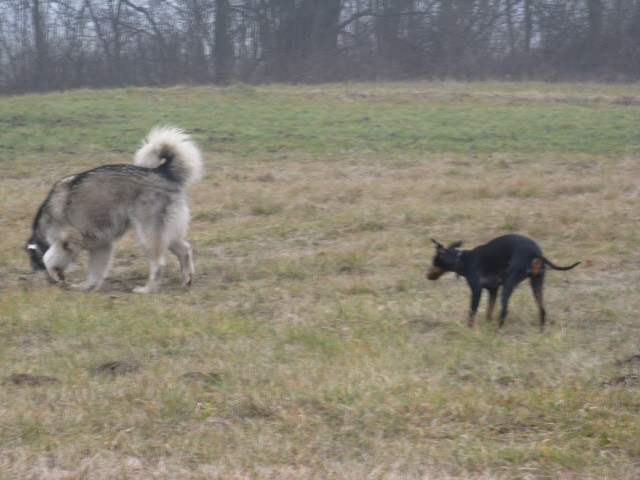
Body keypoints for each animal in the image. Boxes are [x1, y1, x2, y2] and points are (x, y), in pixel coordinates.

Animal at [25, 126, 202, 292]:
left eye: (39, 268)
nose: (52, 285)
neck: (43, 226)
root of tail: (162, 171)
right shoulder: (101, 246)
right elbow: (95, 271)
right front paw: (86, 287)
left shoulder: (66, 240)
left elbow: (49, 259)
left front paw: (56, 273)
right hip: (167, 232)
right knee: (185, 250)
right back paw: (186, 280)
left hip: (148, 235)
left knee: (158, 266)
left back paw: (147, 290)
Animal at [428, 233, 576, 330]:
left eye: (433, 262)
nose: (427, 276)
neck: (462, 259)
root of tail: (537, 253)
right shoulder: (493, 290)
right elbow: (489, 310)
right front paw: (487, 324)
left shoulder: (476, 290)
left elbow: (472, 312)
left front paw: (469, 328)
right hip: (536, 283)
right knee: (542, 309)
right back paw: (541, 331)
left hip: (509, 283)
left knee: (504, 310)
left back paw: (496, 332)